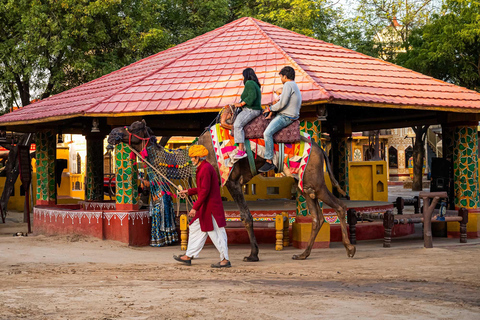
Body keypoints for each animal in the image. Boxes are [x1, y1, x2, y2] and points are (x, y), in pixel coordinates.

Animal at [109, 119, 356, 260]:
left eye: (134, 127)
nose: (112, 134)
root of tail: (319, 147)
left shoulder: (231, 180)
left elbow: (245, 217)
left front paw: (252, 255)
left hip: (314, 179)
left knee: (339, 207)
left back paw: (350, 249)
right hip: (305, 183)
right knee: (317, 217)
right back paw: (303, 254)